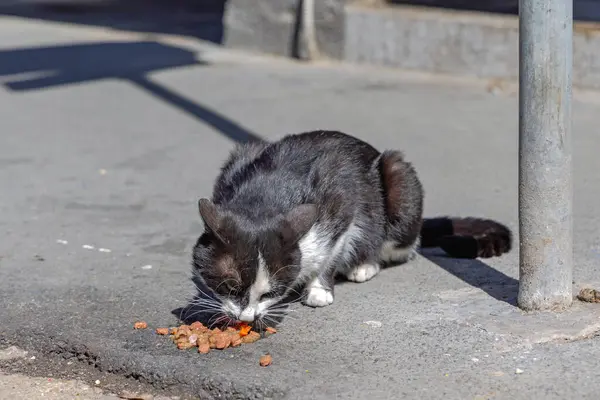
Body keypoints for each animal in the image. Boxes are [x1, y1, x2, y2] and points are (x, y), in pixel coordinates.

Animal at [192, 130, 510, 326]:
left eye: (271, 293)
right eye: (230, 287)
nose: (246, 319)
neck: (266, 198)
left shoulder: (342, 202)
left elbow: (332, 252)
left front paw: (319, 290)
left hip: (398, 180)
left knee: (403, 245)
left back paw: (365, 265)